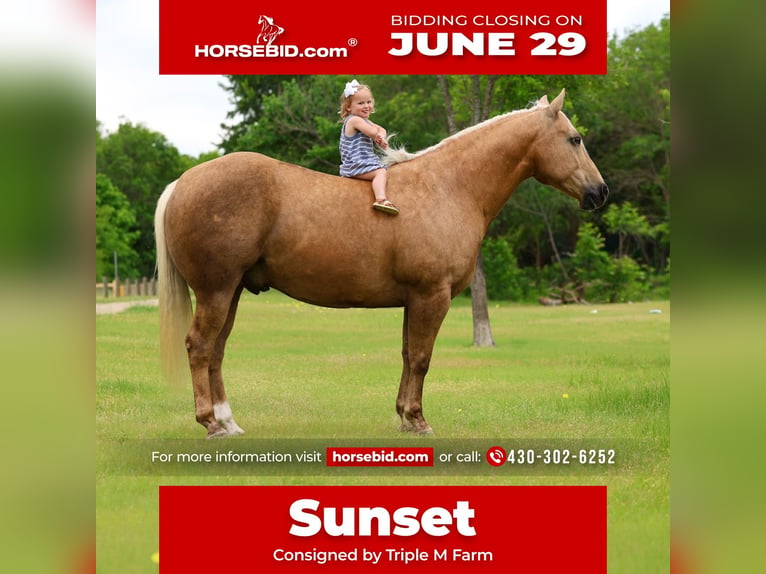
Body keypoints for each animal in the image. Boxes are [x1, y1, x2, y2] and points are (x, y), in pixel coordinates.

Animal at [154, 89, 608, 438]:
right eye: (574, 139)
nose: (600, 192)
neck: (449, 186)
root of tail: (183, 181)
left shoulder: (415, 300)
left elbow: (408, 355)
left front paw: (404, 417)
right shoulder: (432, 296)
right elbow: (422, 358)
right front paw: (419, 421)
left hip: (230, 292)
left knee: (216, 350)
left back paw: (229, 423)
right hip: (215, 291)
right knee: (199, 346)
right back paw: (211, 423)